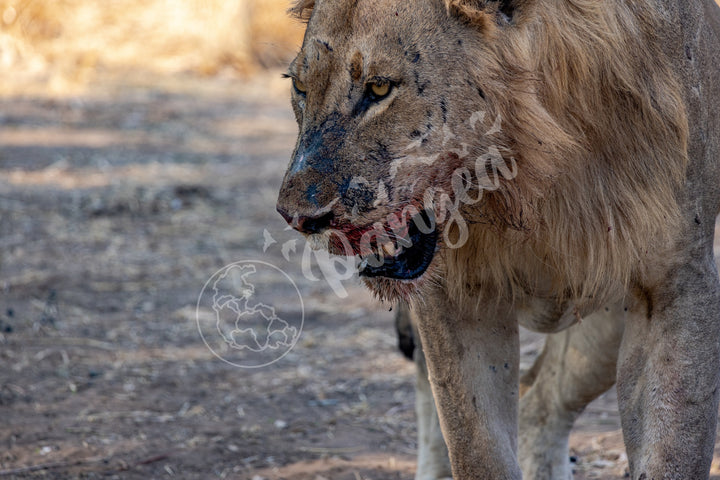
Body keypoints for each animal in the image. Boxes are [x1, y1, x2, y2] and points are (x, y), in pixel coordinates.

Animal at [276, 0, 720, 478]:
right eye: (300, 87)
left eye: (379, 88)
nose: (297, 217)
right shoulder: (457, 295)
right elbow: (477, 447)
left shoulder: (677, 280)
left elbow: (673, 447)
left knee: (540, 400)